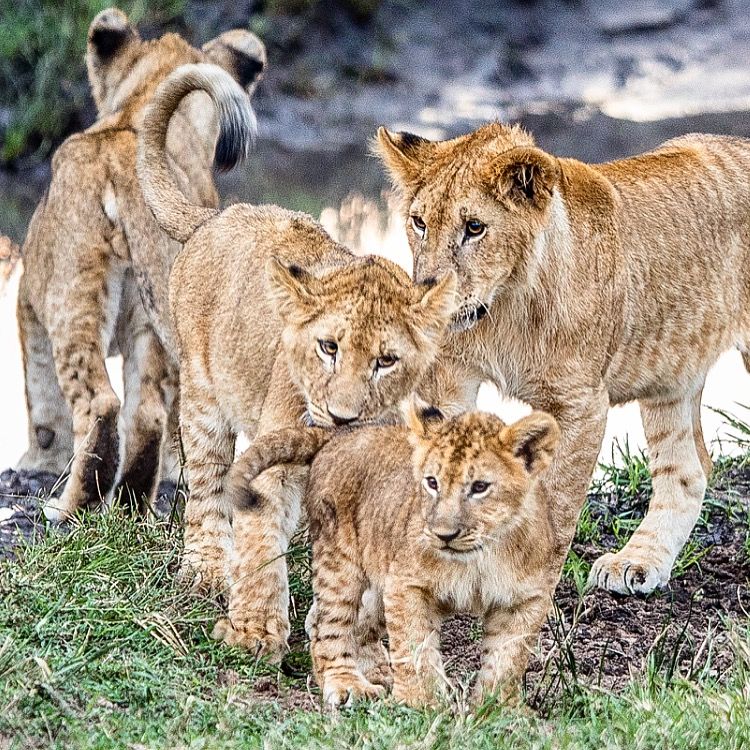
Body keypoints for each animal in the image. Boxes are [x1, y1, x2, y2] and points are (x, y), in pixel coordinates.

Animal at [17, 8, 266, 520]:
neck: (138, 112)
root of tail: (127, 167)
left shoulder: (28, 299)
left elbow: (41, 396)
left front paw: (37, 461)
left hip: (73, 294)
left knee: (99, 404)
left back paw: (70, 507)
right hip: (156, 309)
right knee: (148, 413)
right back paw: (131, 506)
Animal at [135, 63, 459, 658]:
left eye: (386, 361)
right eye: (328, 348)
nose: (343, 418)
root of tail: (217, 216)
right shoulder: (271, 467)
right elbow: (261, 544)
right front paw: (256, 632)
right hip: (203, 398)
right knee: (207, 492)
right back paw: (207, 569)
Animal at [229, 399, 560, 708]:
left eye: (480, 487)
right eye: (432, 482)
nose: (444, 535)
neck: (479, 556)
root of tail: (341, 433)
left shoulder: (525, 599)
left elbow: (507, 659)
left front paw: (497, 709)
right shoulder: (406, 584)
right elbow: (413, 647)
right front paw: (418, 703)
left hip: (378, 578)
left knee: (360, 628)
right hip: (339, 562)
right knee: (328, 628)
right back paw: (347, 684)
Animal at [373, 122, 750, 602]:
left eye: (474, 228)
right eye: (419, 223)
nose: (426, 296)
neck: (504, 307)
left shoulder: (581, 404)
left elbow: (555, 506)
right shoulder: (448, 376)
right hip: (672, 370)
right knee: (690, 469)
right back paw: (638, 563)